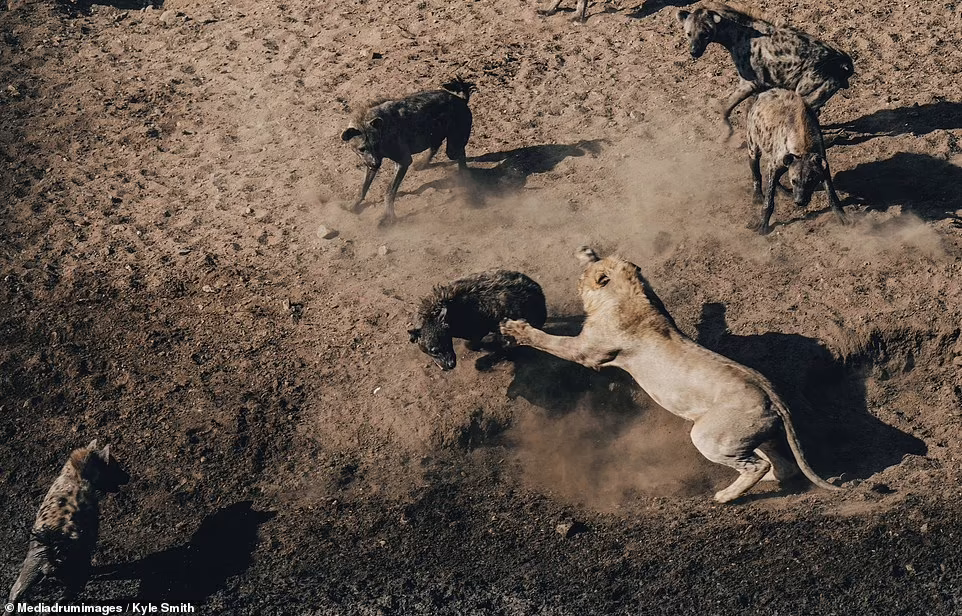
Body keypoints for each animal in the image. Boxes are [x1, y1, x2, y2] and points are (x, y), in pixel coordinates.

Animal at [502, 248, 840, 502]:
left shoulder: (588, 351)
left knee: (752, 466)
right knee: (782, 465)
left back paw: (725, 496)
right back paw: (770, 476)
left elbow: (550, 341)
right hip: (750, 434)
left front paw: (514, 328)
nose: (585, 252)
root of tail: (774, 398)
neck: (631, 292)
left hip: (709, 435)